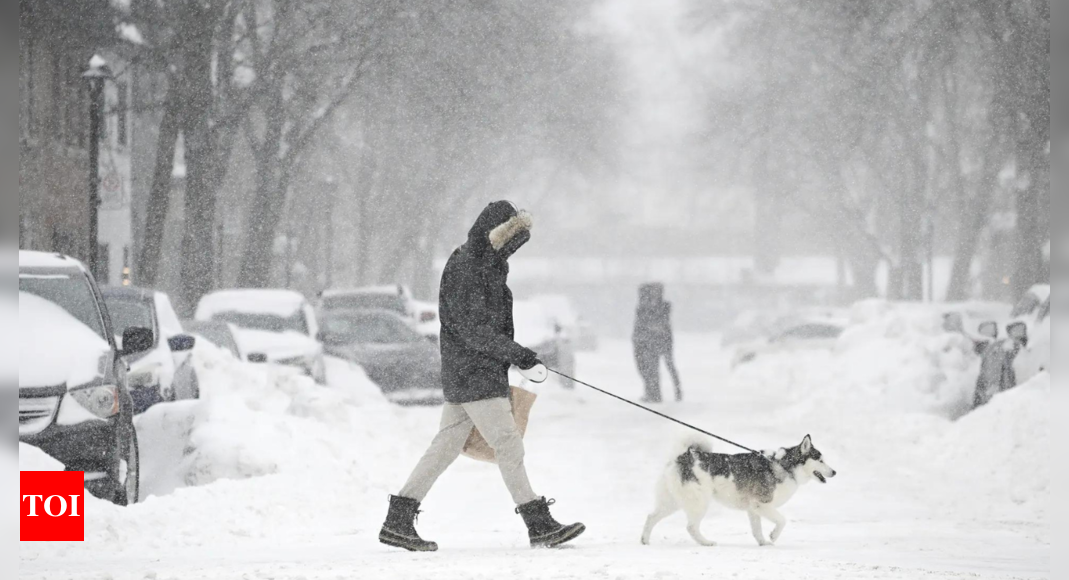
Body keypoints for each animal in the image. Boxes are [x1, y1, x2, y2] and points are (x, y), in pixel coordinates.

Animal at [637, 437, 838, 546]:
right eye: (820, 460)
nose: (835, 472)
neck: (783, 465)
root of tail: (682, 457)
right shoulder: (762, 504)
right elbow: (782, 521)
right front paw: (773, 536)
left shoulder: (753, 509)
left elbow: (757, 530)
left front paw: (763, 542)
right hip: (699, 502)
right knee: (691, 527)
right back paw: (706, 542)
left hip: (672, 502)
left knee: (651, 517)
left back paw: (645, 540)